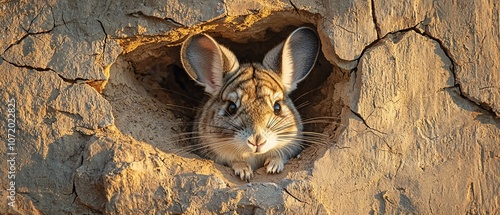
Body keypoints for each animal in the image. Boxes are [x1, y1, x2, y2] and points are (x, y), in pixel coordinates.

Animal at [181, 26, 320, 181]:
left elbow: (280, 155)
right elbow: (235, 161)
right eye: (231, 108)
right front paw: (244, 172)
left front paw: (273, 167)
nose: (257, 141)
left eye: (277, 107)